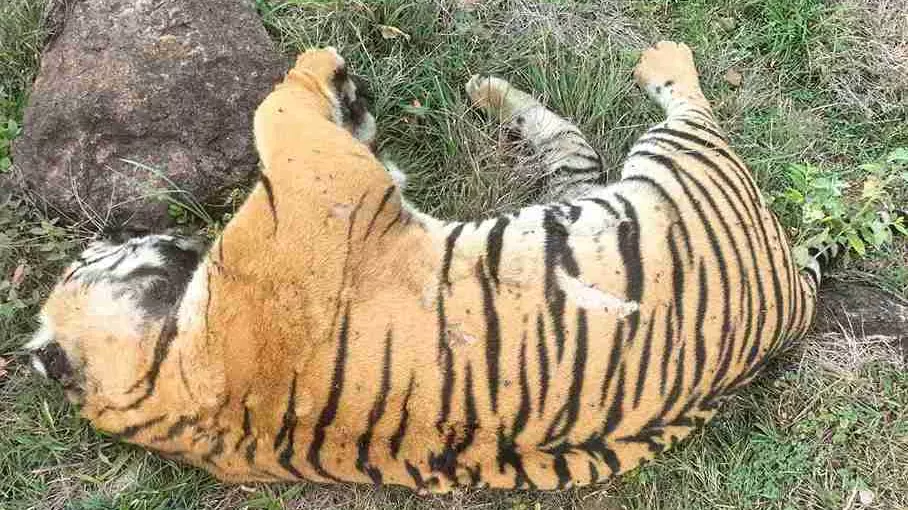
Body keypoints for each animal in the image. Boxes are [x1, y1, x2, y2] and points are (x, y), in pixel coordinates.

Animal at [26, 42, 827, 492]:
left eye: (92, 253)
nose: (126, 234)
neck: (165, 389)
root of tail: (792, 301)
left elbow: (301, 116)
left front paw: (346, 92)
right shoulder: (323, 181)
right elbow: (277, 108)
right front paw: (321, 65)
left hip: (592, 194)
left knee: (572, 148)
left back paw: (486, 90)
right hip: (679, 168)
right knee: (687, 105)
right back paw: (661, 54)